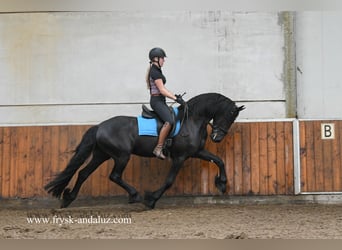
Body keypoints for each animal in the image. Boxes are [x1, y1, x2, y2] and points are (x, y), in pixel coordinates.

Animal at [44, 93, 243, 208]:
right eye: (229, 115)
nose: (217, 138)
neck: (191, 120)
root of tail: (100, 126)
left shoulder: (196, 152)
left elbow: (219, 160)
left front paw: (222, 183)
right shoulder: (180, 157)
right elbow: (169, 181)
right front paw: (151, 199)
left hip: (102, 155)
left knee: (84, 173)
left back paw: (68, 198)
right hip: (121, 156)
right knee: (114, 176)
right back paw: (135, 195)